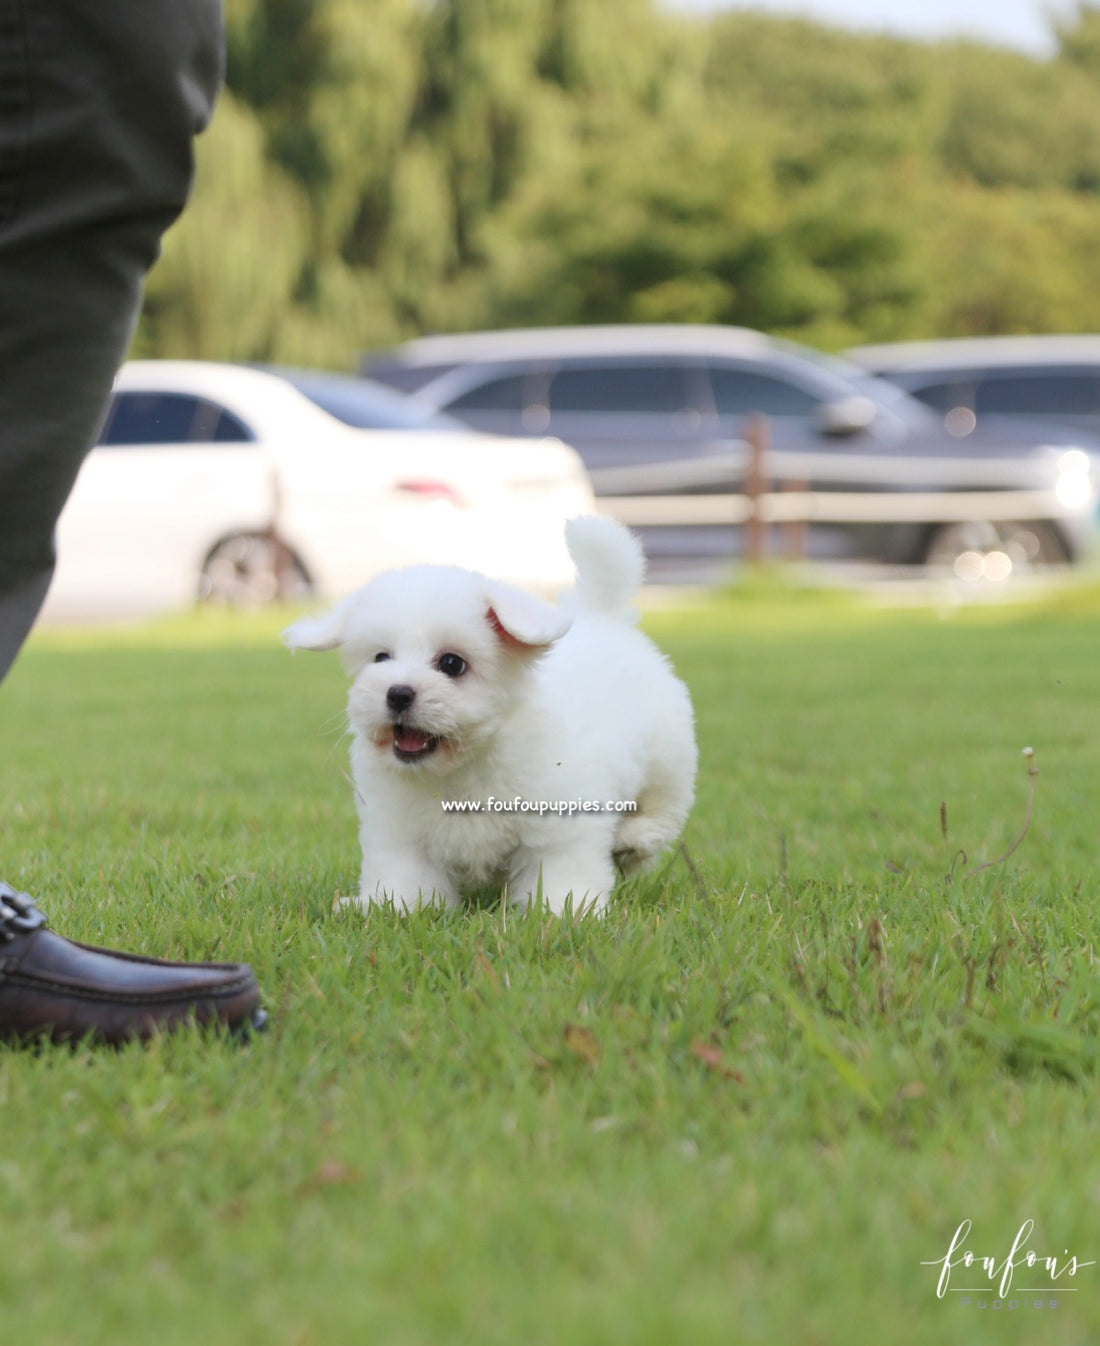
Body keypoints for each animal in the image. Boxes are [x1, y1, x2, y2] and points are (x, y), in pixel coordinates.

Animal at [281, 514, 694, 915]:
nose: (397, 694)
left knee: (665, 807)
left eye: (452, 663)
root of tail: (601, 614)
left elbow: (560, 869)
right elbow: (407, 877)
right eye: (381, 657)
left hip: (668, 754)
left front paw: (565, 911)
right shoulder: (400, 831)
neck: (463, 765)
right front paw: (391, 906)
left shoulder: (559, 822)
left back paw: (634, 839)